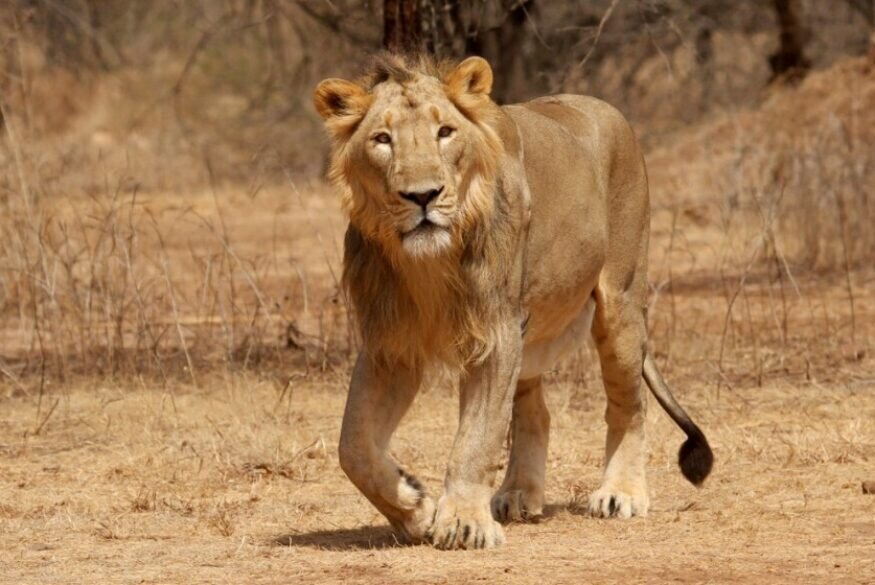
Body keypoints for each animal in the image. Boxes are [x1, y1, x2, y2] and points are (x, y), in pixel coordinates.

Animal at [314, 53, 712, 548]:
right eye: (382, 140)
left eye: (445, 132)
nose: (423, 196)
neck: (428, 263)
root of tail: (605, 108)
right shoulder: (391, 343)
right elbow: (352, 447)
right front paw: (414, 507)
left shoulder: (495, 331)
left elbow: (476, 439)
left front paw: (463, 523)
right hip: (533, 330)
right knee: (534, 412)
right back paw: (518, 493)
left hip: (619, 303)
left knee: (628, 404)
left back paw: (620, 494)